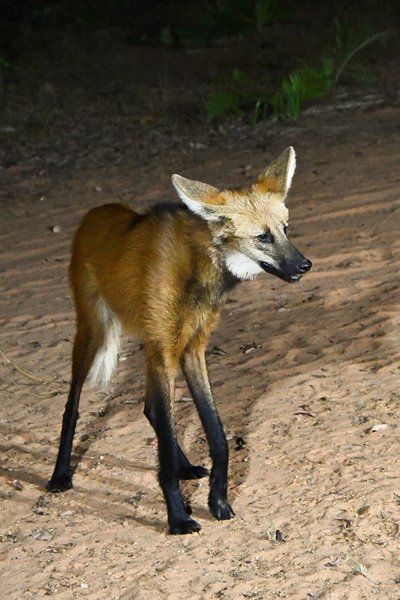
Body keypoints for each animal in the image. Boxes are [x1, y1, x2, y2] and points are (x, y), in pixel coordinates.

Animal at [47, 146, 312, 536]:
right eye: (263, 237)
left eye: (285, 230)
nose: (305, 264)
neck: (198, 270)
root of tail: (95, 212)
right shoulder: (165, 351)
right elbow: (166, 453)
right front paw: (178, 518)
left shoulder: (190, 349)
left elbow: (216, 436)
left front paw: (218, 501)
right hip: (93, 333)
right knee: (73, 405)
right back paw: (60, 475)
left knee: (149, 408)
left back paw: (187, 467)